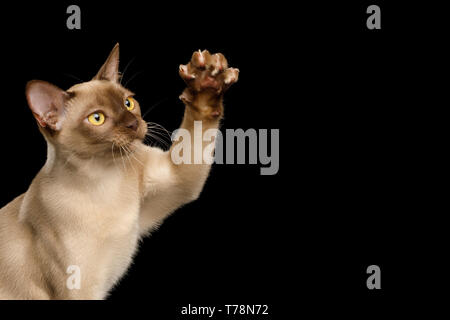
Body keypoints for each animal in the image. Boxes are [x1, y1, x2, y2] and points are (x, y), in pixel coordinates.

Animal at [0, 43, 239, 298]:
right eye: (97, 118)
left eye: (128, 103)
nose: (133, 124)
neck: (104, 180)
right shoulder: (81, 290)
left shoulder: (179, 180)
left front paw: (207, 83)